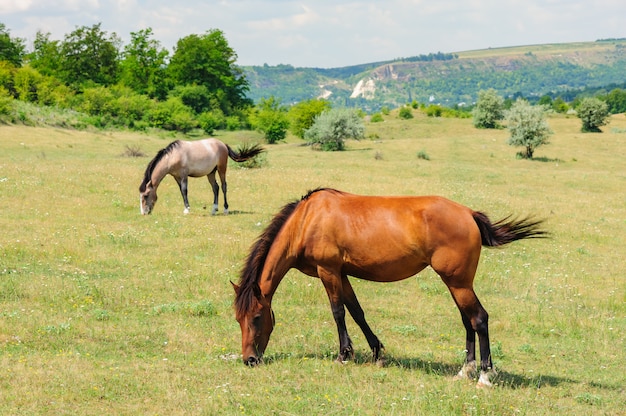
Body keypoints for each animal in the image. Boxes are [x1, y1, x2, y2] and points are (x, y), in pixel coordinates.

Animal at [232, 188, 544, 386]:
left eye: (257, 318)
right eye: (238, 319)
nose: (249, 359)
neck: (307, 220)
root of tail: (468, 213)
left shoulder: (328, 271)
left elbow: (338, 312)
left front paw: (343, 355)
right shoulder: (342, 274)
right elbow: (356, 312)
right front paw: (376, 352)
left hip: (458, 283)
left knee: (479, 319)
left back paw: (484, 375)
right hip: (457, 284)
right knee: (468, 321)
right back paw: (464, 371)